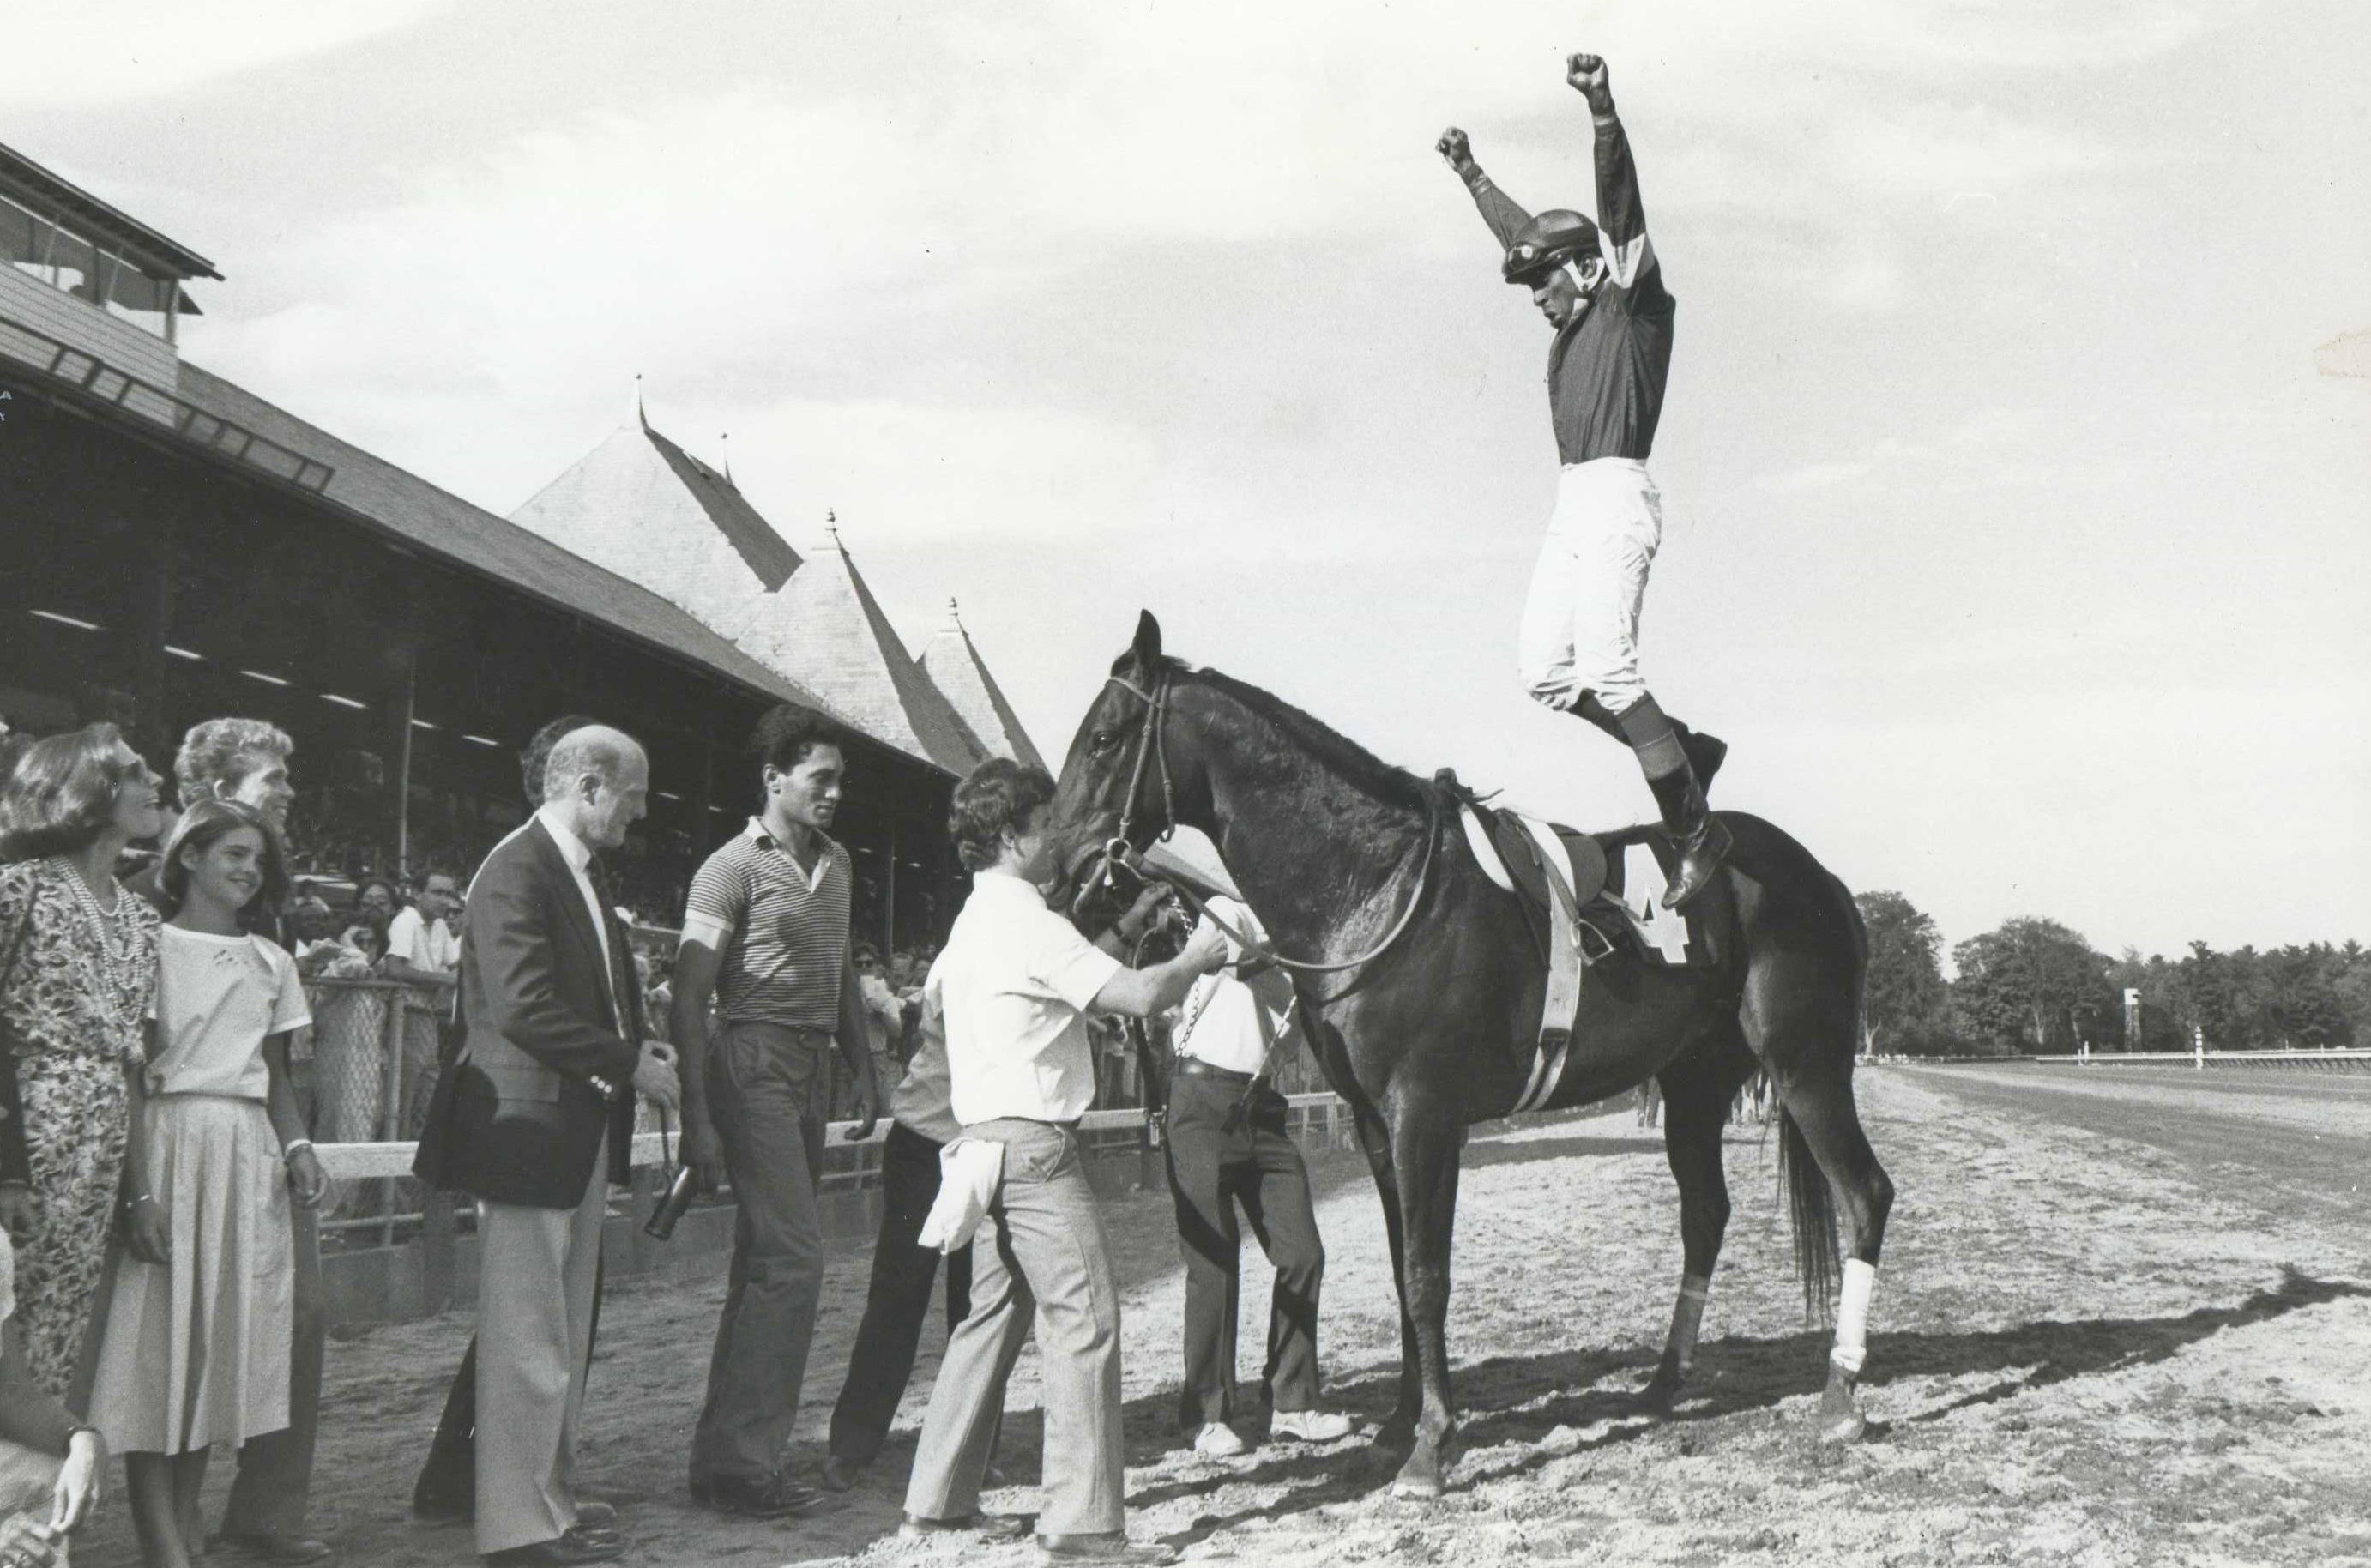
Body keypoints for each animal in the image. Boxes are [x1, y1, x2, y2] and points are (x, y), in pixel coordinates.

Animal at [1047, 606, 1897, 1489]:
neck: (1379, 884)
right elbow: (1402, 1270)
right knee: (1707, 1215)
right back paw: (1667, 1381)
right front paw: (1399, 1424)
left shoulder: (1425, 1116)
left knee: (1866, 1194)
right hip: (1695, 1087)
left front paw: (1430, 1443)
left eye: (1104, 738)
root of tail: (1827, 883)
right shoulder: (1375, 1123)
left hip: (1806, 1065)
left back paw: (1841, 1394)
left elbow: (1427, 1275)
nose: (1054, 865)